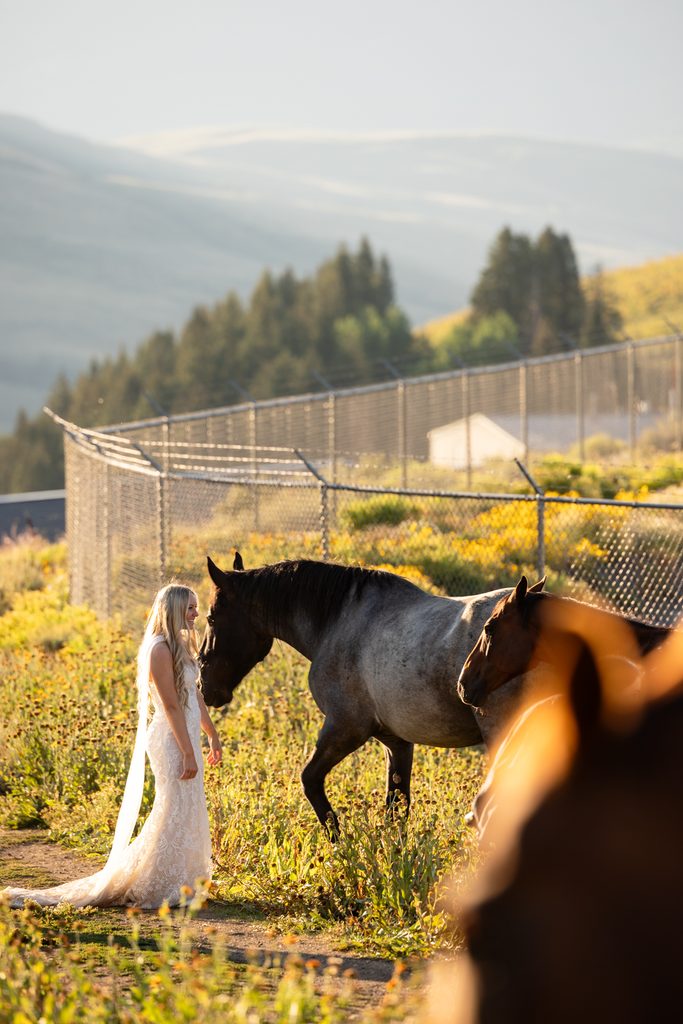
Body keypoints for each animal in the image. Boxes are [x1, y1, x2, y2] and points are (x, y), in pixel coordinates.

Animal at [198, 553, 519, 834]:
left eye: (212, 618)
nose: (204, 685)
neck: (339, 620)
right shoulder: (396, 742)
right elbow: (396, 807)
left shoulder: (346, 728)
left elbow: (310, 781)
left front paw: (339, 845)